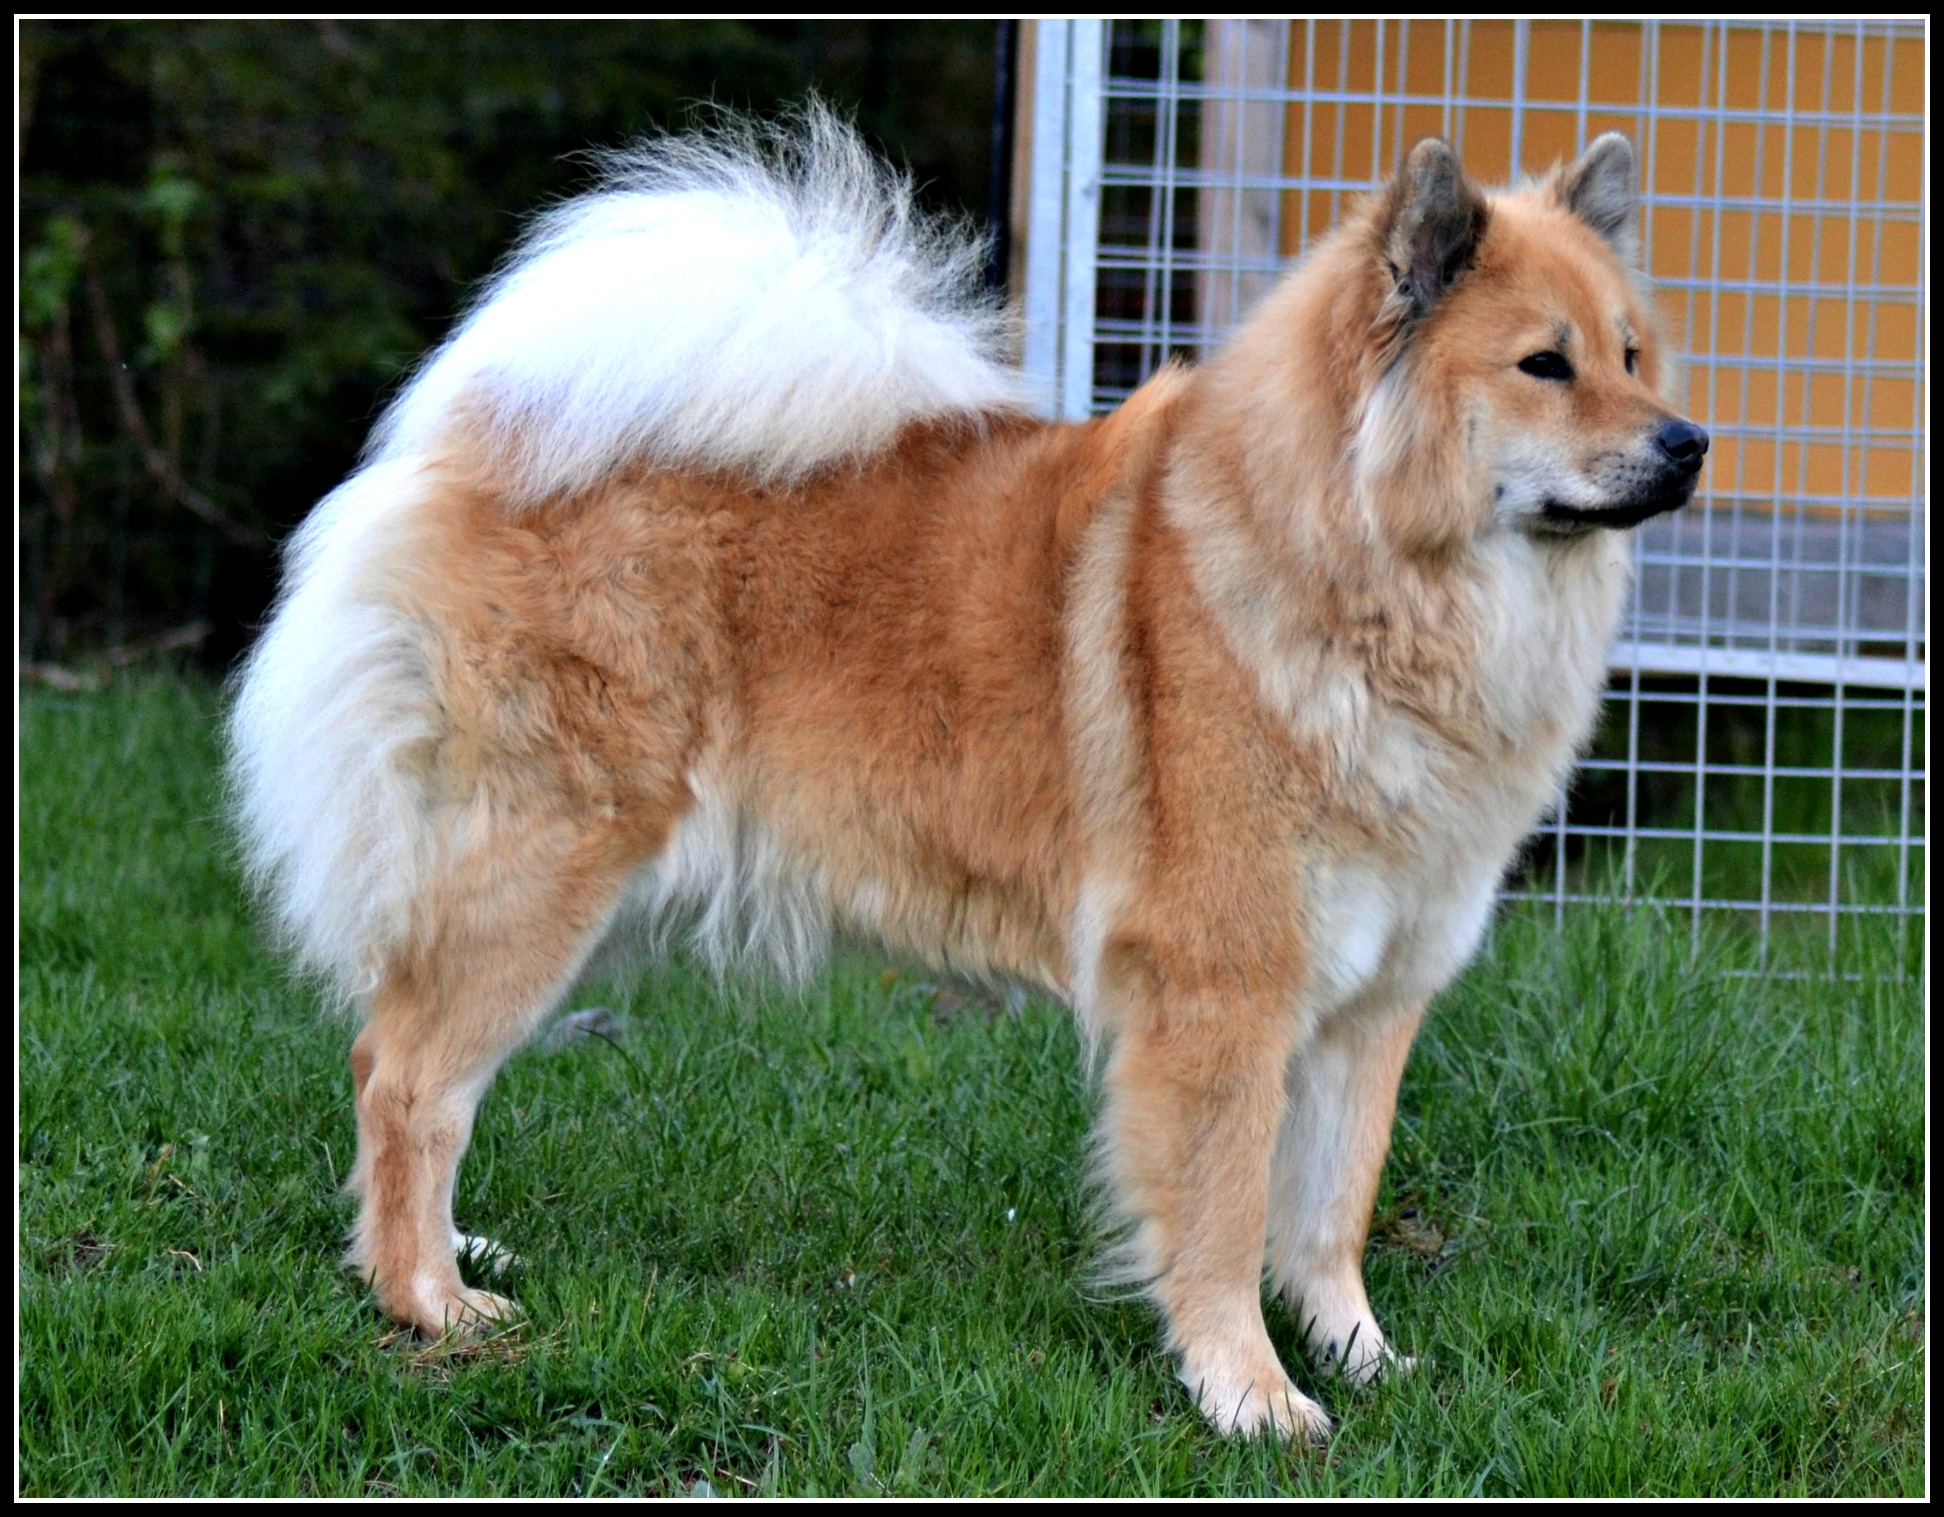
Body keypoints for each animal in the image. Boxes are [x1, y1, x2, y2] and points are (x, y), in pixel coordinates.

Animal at [229, 111, 1706, 1439]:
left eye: (1634, 354)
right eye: (1545, 366)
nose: (1689, 441)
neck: (1373, 581)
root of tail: (477, 443)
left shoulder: (1371, 999)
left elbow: (1330, 1208)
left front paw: (1360, 1356)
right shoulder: (1224, 991)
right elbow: (1223, 1213)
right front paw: (1251, 1394)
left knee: (410, 1067)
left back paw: (441, 1256)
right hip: (542, 871)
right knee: (407, 1077)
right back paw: (427, 1301)